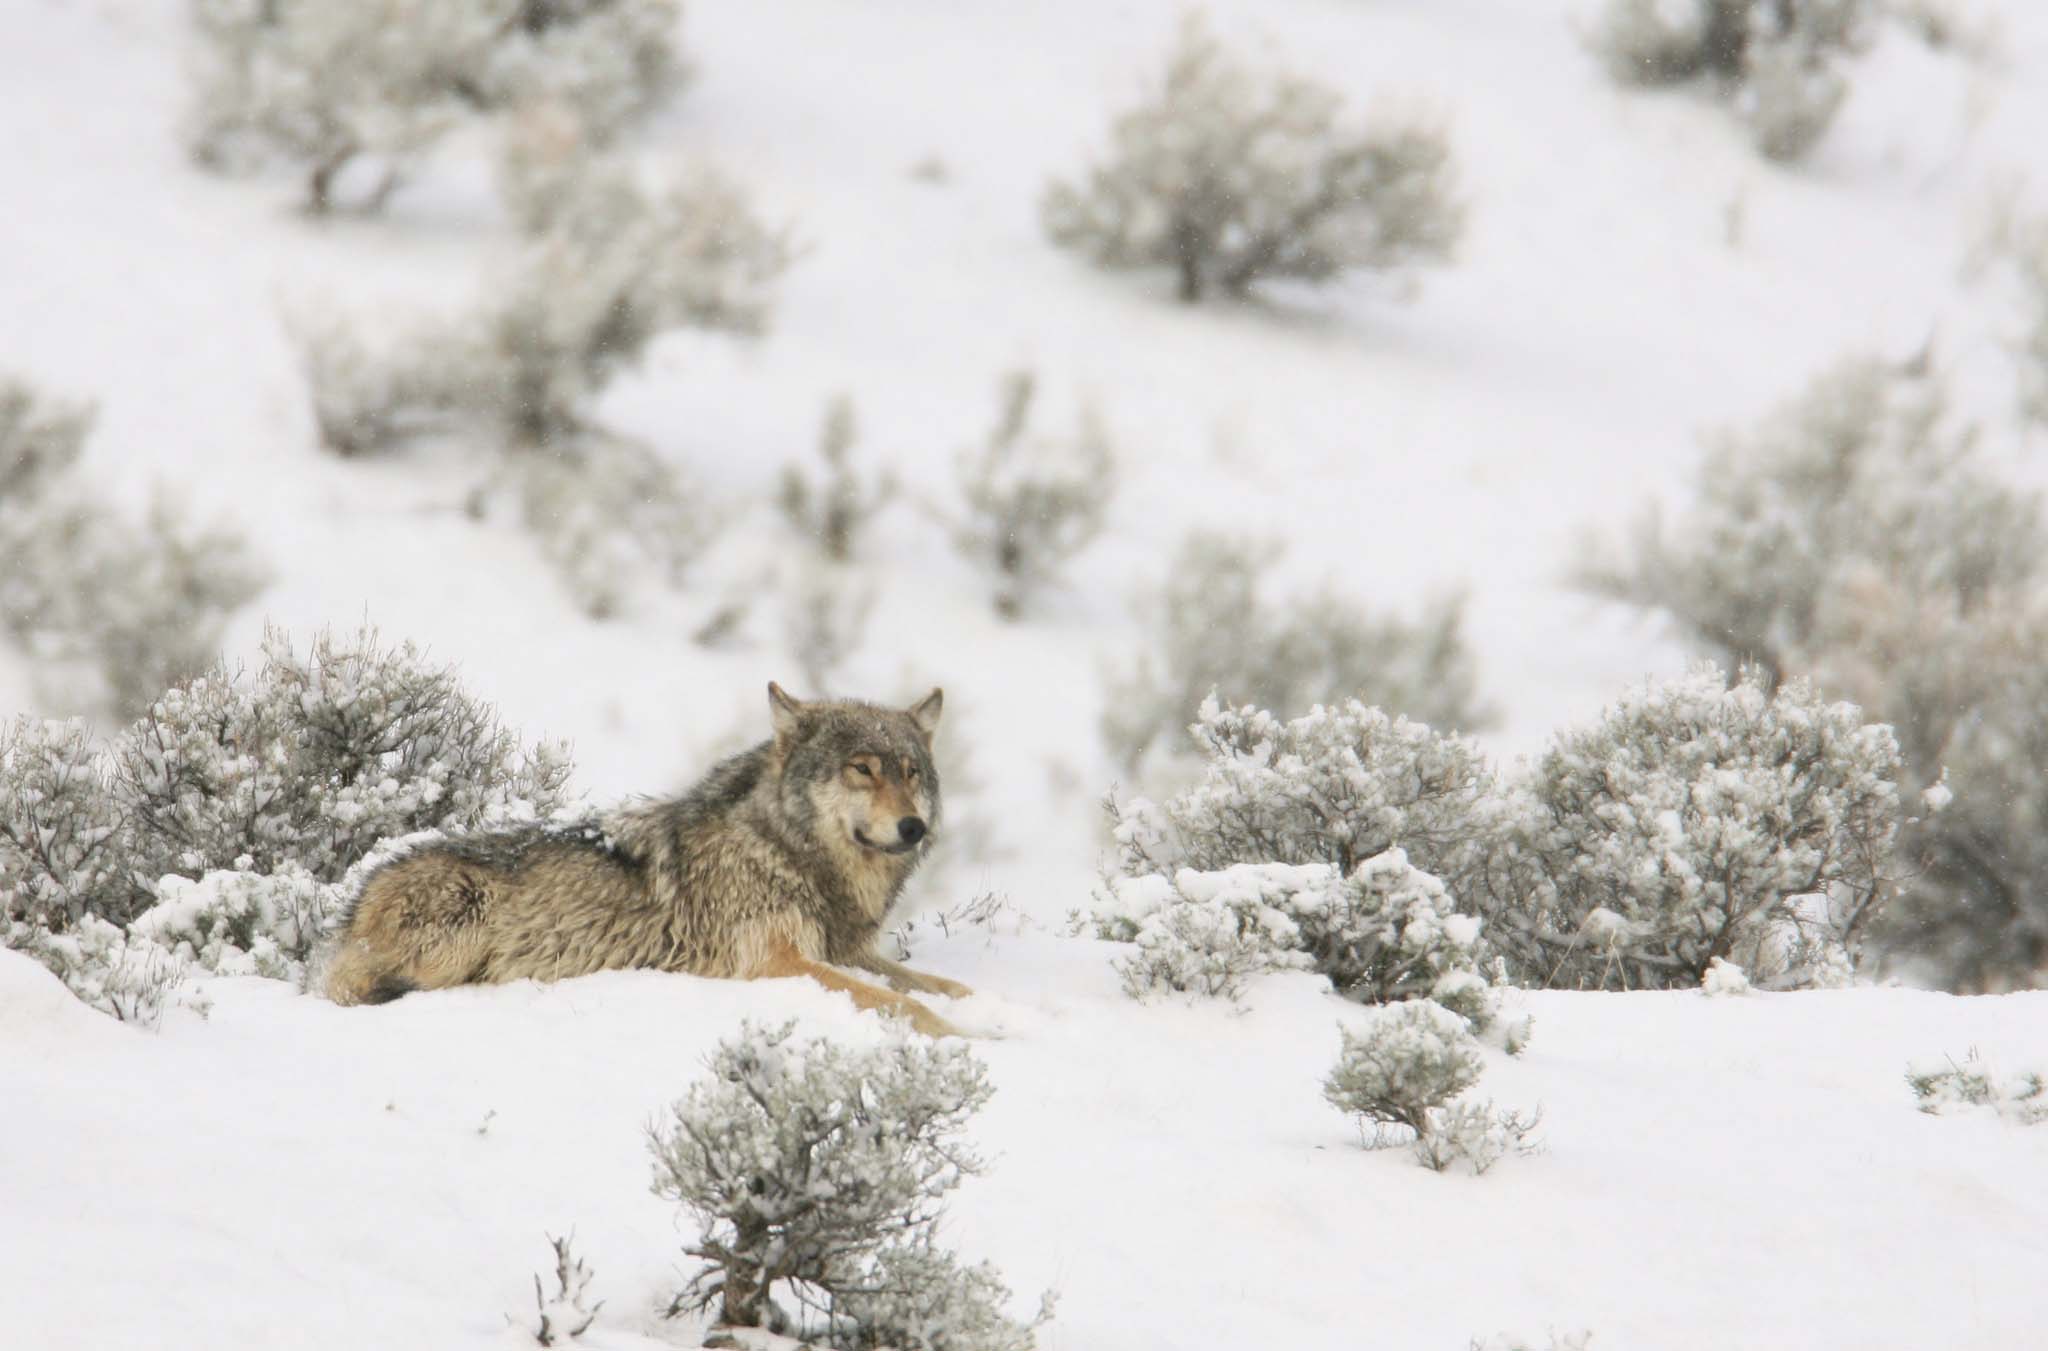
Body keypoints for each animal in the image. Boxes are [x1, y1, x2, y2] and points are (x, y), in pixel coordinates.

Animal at [321, 679, 974, 1039]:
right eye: (862, 768)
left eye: (910, 773)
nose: (913, 828)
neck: (786, 850)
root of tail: (354, 906)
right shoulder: (775, 960)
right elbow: (903, 1003)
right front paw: (969, 1036)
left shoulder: (849, 953)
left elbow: (942, 986)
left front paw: (988, 1013)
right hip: (464, 917)